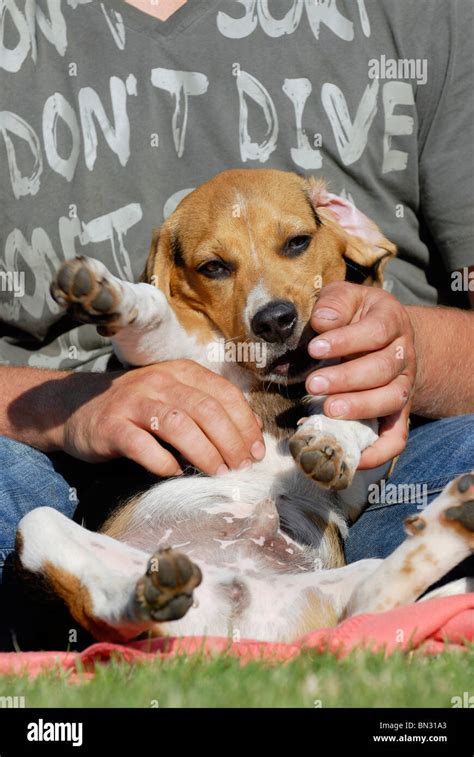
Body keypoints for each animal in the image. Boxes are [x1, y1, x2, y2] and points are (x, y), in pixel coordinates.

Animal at [12, 171, 472, 644]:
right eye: (214, 267)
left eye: (297, 242)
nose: (274, 320)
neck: (273, 386)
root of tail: (230, 632)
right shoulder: (172, 358)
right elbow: (157, 315)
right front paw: (110, 295)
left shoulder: (358, 484)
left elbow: (357, 410)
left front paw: (329, 441)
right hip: (41, 530)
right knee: (105, 613)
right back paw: (152, 589)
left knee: (373, 603)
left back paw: (454, 521)